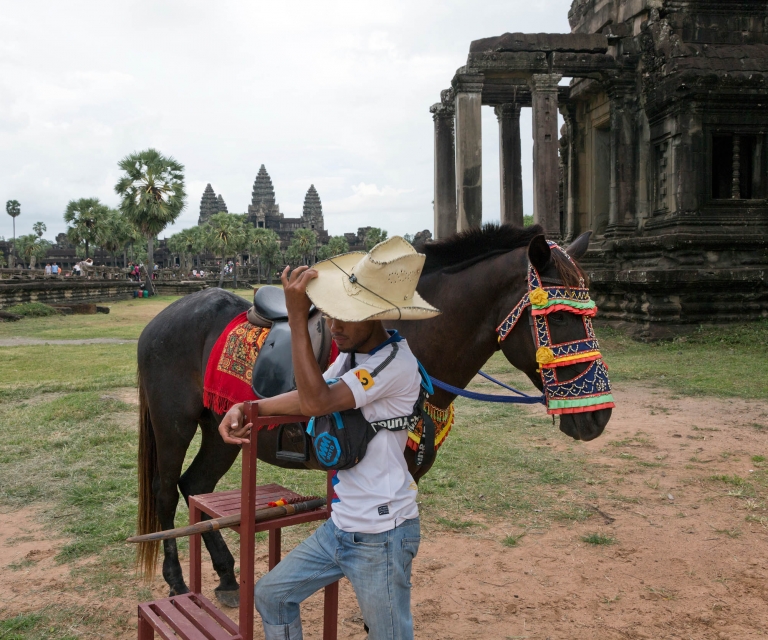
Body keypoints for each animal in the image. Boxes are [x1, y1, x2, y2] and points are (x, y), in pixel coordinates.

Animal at [134, 225, 612, 604]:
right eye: (558, 317)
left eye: (591, 313)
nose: (598, 417)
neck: (412, 341)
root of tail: (157, 322)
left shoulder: (405, 474)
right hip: (173, 424)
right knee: (166, 491)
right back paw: (177, 582)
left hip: (221, 430)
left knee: (197, 485)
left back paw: (228, 577)